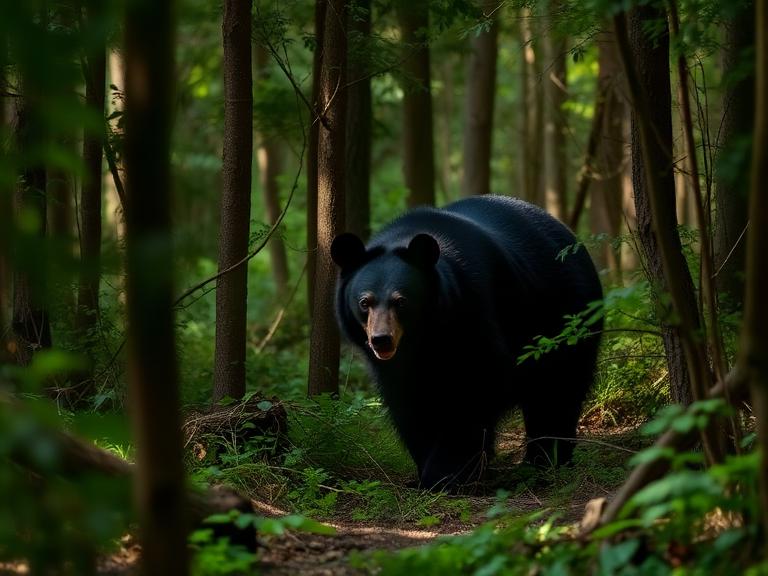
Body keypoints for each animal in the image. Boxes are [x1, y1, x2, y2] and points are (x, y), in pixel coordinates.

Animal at [331, 195, 603, 490]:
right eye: (364, 302)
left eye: (401, 301)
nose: (381, 340)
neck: (424, 339)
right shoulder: (397, 368)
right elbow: (410, 405)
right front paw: (425, 470)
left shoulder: (474, 316)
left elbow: (473, 395)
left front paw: (446, 473)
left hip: (566, 321)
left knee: (558, 392)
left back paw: (545, 460)